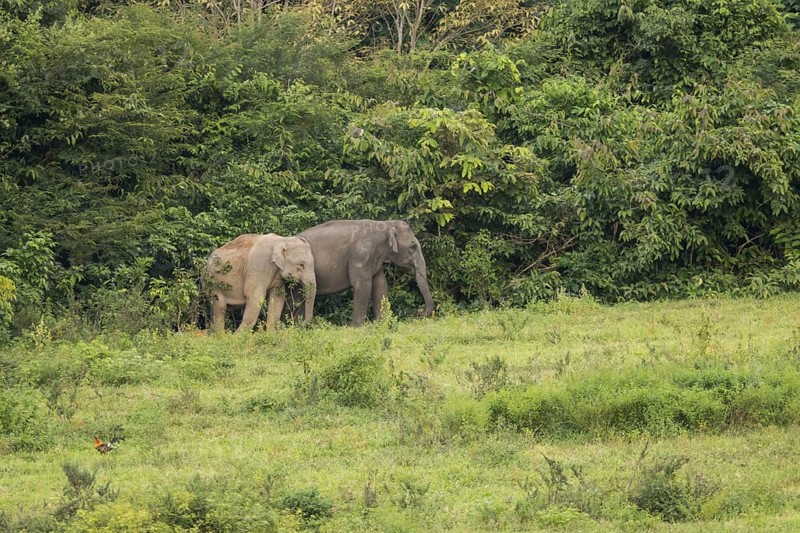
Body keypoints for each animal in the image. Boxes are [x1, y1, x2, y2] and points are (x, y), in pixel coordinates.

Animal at [293, 219, 434, 326]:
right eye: (413, 246)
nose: (419, 311)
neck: (385, 224)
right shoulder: (360, 256)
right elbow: (363, 285)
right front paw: (358, 329)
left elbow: (380, 286)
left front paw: (381, 325)